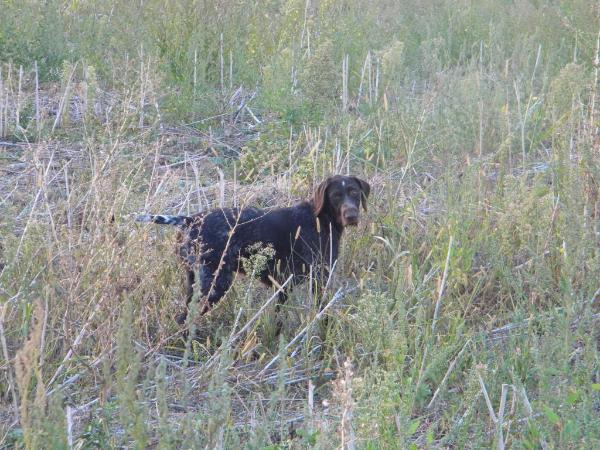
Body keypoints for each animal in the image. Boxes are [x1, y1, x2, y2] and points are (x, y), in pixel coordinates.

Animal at [137, 174, 370, 326]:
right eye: (336, 195)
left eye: (354, 193)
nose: (351, 215)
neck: (321, 220)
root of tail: (189, 220)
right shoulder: (317, 280)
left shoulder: (284, 286)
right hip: (215, 284)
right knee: (185, 318)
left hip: (196, 283)